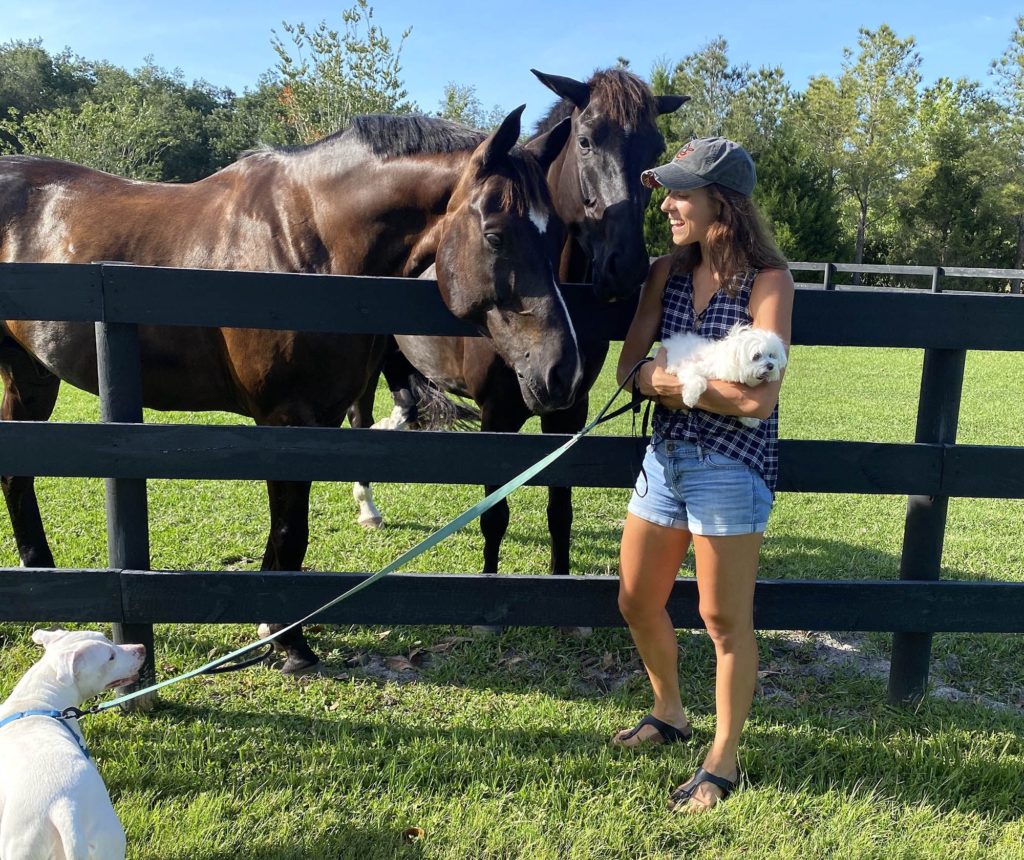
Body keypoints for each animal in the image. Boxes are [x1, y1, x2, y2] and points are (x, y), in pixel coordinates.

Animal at [0, 105, 577, 671]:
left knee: (17, 476)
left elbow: (287, 531)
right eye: (497, 235)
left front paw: (272, 629)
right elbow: (290, 529)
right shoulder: (284, 417)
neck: (307, 240)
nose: (561, 372)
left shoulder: (317, 419)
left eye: (557, 239)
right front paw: (290, 643)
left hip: (30, 377)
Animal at [352, 69, 688, 577]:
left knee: (404, 406)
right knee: (360, 418)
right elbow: (494, 516)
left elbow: (560, 510)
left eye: (655, 150)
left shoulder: (569, 413)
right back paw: (368, 507)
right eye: (586, 141)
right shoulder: (497, 417)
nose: (626, 267)